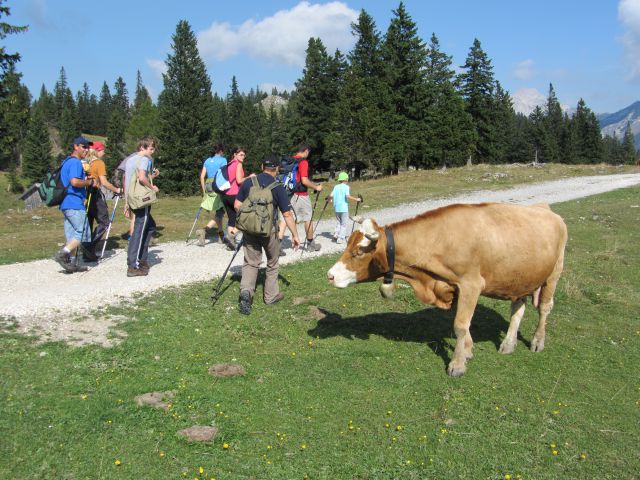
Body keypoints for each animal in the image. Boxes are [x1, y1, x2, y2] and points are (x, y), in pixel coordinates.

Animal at [328, 202, 568, 376]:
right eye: (348, 245)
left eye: (359, 252)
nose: (330, 275)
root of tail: (545, 208)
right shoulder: (454, 287)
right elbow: (462, 324)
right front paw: (468, 350)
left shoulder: (471, 284)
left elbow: (460, 325)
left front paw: (457, 365)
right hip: (519, 278)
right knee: (518, 308)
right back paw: (508, 344)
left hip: (554, 273)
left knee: (545, 308)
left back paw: (537, 341)